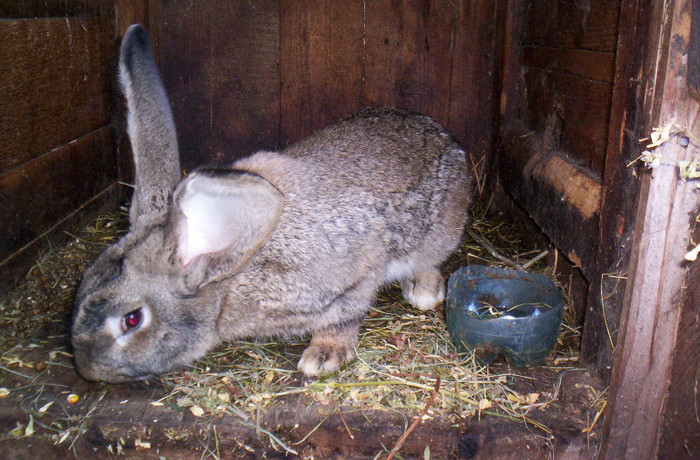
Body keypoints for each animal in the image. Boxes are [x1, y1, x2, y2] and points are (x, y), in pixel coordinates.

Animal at [71, 25, 474, 384]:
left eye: (132, 320)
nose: (88, 370)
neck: (228, 277)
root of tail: (443, 135)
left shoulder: (357, 274)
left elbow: (344, 316)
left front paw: (323, 356)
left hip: (439, 232)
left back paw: (424, 291)